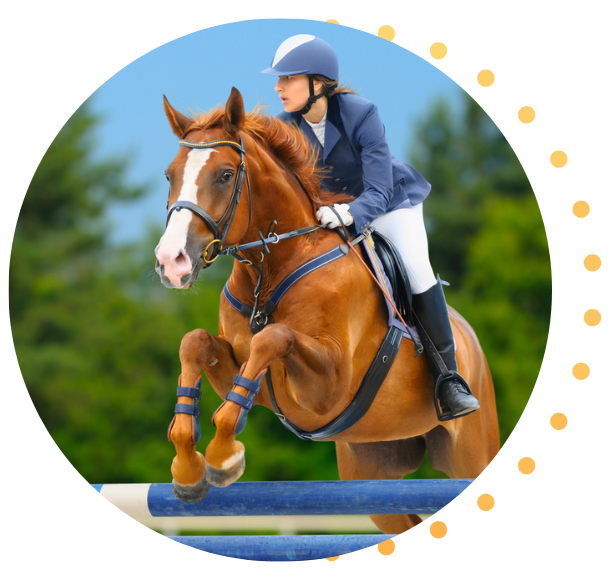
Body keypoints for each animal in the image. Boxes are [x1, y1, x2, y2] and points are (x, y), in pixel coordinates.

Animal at [153, 87, 498, 536]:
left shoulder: (329, 385)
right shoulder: (248, 375)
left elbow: (274, 337)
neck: (274, 265)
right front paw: (189, 467)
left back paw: (456, 393)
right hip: (372, 471)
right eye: (169, 175)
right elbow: (195, 342)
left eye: (226, 175)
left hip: (469, 451)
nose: (171, 262)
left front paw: (224, 456)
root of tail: (469, 338)